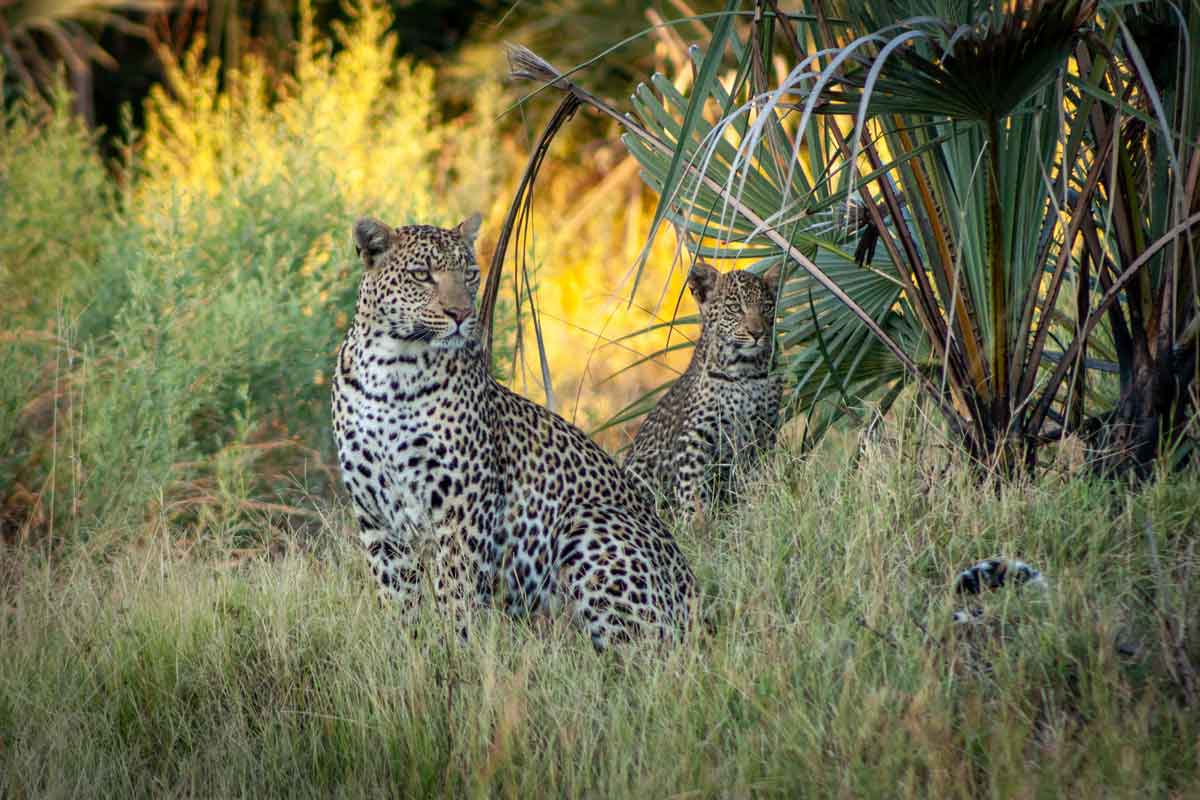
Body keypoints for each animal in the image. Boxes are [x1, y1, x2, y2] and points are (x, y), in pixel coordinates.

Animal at [333, 214, 700, 652]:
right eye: (421, 275)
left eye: (470, 274)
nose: (461, 314)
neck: (391, 372)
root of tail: (697, 598)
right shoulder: (375, 514)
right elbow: (397, 596)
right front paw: (406, 650)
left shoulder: (464, 506)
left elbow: (456, 593)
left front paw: (458, 653)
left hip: (589, 524)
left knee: (642, 647)